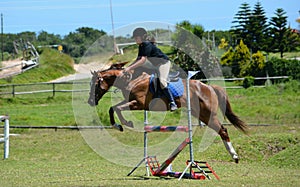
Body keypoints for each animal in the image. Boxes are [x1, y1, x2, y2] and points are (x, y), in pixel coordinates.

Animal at [87, 62, 248, 163]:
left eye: (95, 84)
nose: (90, 101)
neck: (132, 80)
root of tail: (208, 87)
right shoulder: (132, 103)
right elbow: (113, 108)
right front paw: (118, 126)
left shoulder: (137, 104)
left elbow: (118, 109)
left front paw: (126, 123)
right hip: (201, 114)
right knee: (221, 130)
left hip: (208, 114)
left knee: (223, 130)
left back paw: (234, 156)